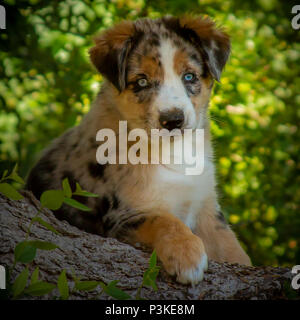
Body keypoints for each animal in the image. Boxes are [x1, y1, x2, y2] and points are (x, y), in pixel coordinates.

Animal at [26, 15, 251, 284]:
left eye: (189, 77)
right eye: (142, 81)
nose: (173, 120)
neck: (174, 152)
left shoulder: (206, 205)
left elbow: (232, 247)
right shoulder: (124, 215)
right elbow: (163, 219)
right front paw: (187, 256)